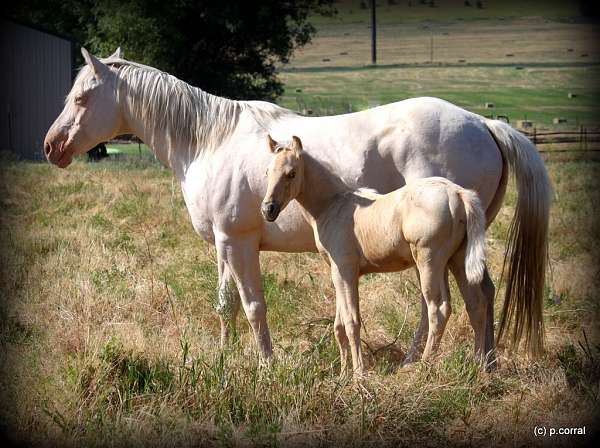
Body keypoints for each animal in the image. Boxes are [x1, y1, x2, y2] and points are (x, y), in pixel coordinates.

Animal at [262, 136, 488, 374]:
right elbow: (339, 325)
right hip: (456, 260)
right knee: (476, 304)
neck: (332, 205)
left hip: (429, 261)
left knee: (438, 309)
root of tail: (458, 194)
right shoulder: (337, 273)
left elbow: (351, 321)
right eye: (268, 172)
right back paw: (480, 365)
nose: (268, 209)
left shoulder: (345, 271)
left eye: (291, 173)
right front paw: (343, 374)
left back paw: (424, 366)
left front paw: (358, 374)